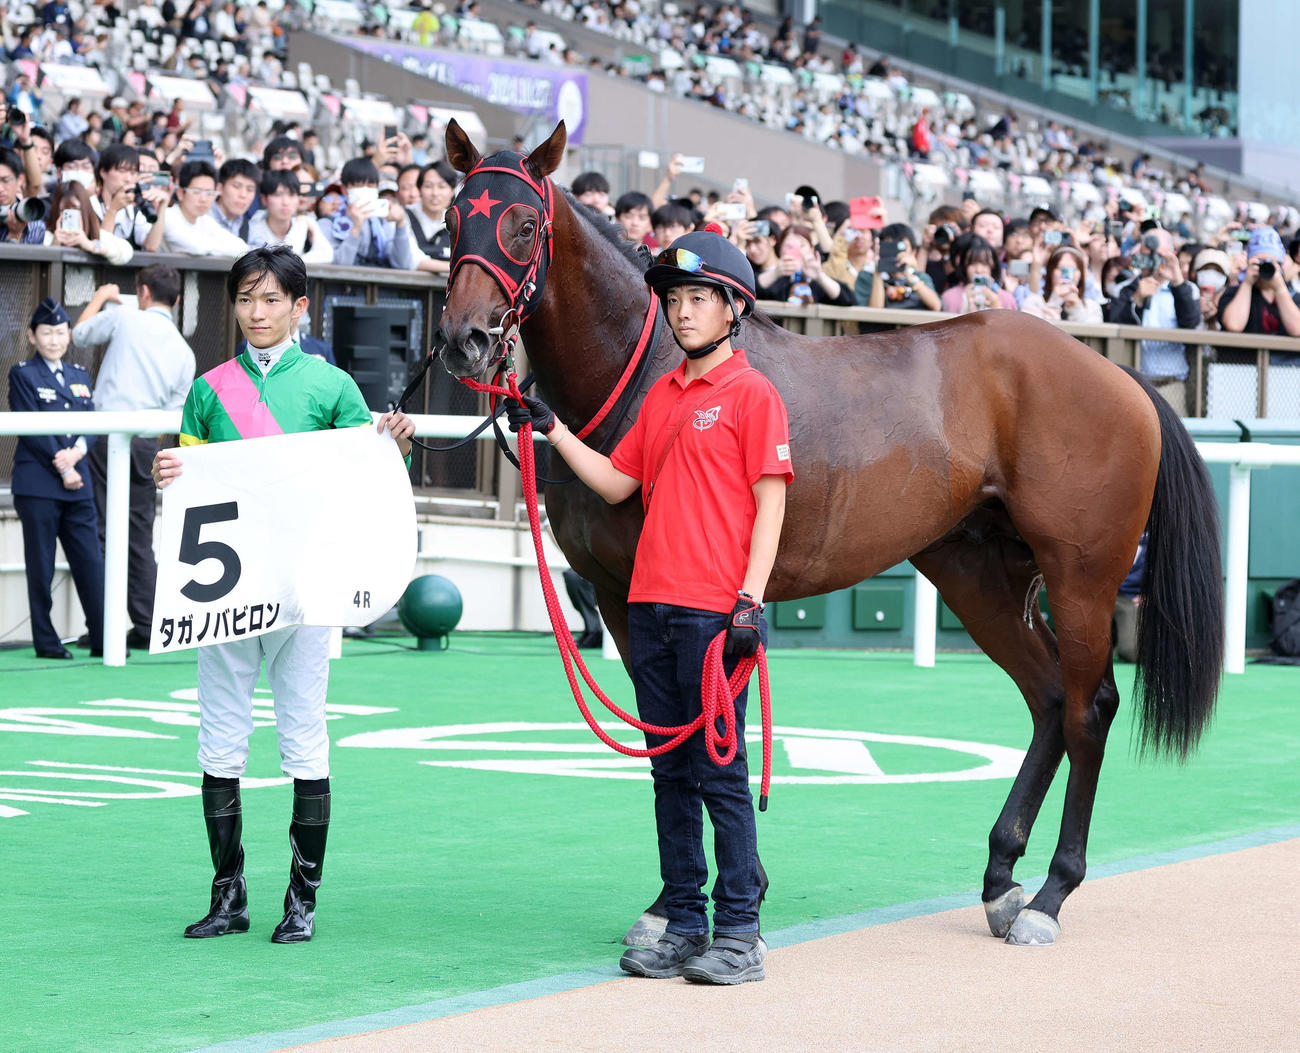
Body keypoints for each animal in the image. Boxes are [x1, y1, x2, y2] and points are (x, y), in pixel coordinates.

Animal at [433, 120, 1224, 946]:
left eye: (526, 224)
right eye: (454, 218)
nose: (465, 339)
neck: (650, 377)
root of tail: (1122, 379)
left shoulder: (707, 604)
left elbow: (705, 727)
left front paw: (734, 897)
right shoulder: (625, 597)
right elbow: (664, 733)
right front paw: (670, 904)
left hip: (1083, 575)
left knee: (1086, 707)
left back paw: (1050, 894)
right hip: (978, 572)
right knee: (1046, 698)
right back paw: (1003, 877)